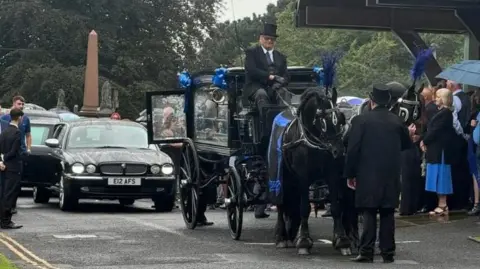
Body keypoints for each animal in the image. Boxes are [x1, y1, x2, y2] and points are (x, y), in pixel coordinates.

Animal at [268, 87, 346, 254]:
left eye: (340, 118)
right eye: (323, 120)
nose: (339, 151)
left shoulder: (332, 175)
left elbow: (336, 207)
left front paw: (342, 240)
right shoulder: (303, 177)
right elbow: (304, 208)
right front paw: (304, 241)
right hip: (281, 177)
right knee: (281, 204)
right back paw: (281, 237)